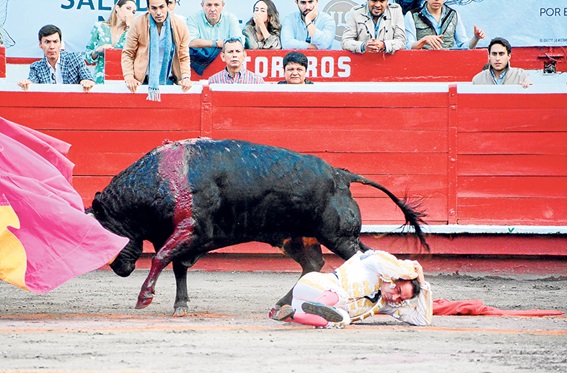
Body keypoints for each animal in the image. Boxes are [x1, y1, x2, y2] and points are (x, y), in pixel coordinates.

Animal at [90, 138, 430, 316]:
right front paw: (181, 306)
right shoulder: (179, 236)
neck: (160, 182)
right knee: (314, 264)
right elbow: (176, 267)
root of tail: (341, 174)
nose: (117, 267)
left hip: (338, 236)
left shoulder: (190, 230)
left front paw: (144, 298)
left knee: (362, 257)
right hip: (298, 237)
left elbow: (162, 259)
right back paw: (282, 304)